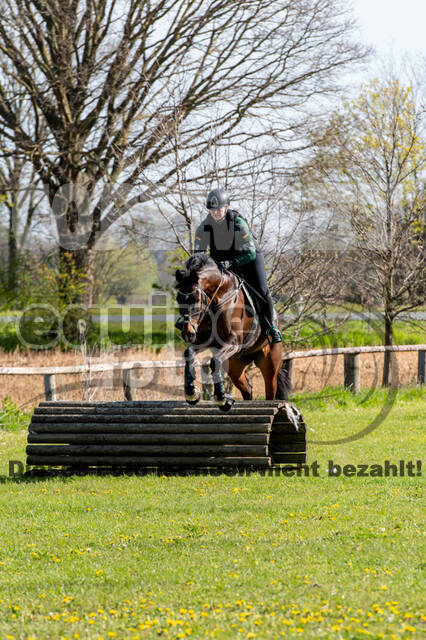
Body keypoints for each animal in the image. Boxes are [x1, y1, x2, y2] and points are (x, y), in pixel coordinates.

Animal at [175, 252, 288, 412]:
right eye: (179, 299)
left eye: (196, 299)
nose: (187, 333)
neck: (219, 297)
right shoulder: (204, 340)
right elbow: (189, 353)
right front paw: (191, 392)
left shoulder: (234, 342)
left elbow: (215, 361)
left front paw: (222, 398)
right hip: (235, 366)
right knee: (247, 388)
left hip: (270, 363)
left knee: (270, 390)